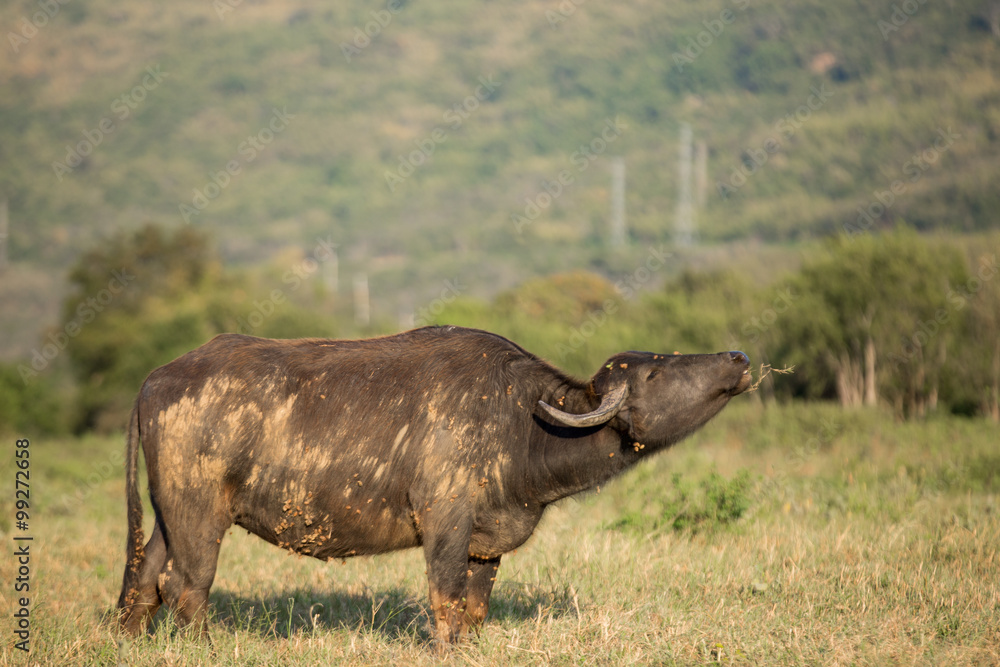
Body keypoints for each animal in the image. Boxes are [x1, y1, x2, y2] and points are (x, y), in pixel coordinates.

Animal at [117, 326, 752, 644]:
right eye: (656, 371)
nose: (739, 357)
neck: (519, 419)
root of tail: (155, 378)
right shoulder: (445, 522)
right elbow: (445, 601)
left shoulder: (485, 543)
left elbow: (475, 608)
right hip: (201, 517)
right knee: (188, 589)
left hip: (167, 516)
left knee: (145, 580)